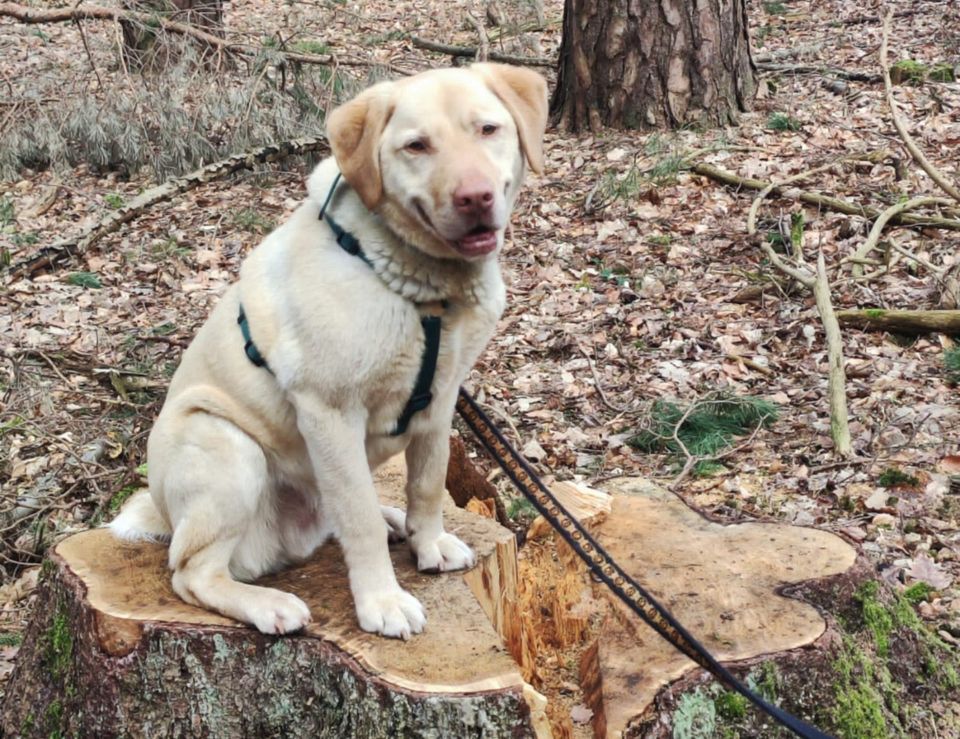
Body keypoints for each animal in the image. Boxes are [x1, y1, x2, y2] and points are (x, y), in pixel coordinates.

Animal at [109, 63, 548, 640]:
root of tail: (164, 514)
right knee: (192, 572)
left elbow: (428, 484)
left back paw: (393, 520)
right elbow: (357, 520)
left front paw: (428, 543)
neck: (424, 293)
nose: (474, 197)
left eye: (488, 129)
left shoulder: (442, 398)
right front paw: (383, 601)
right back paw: (269, 604)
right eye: (416, 146)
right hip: (224, 444)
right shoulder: (331, 411)